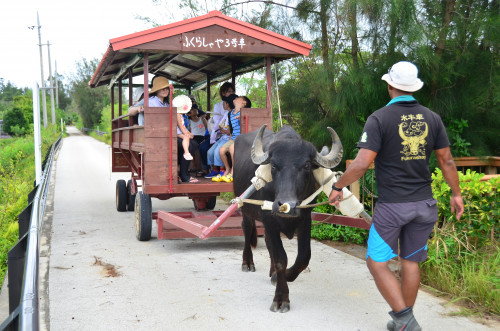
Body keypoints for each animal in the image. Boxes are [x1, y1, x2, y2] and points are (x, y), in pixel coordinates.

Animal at [232, 125, 342, 314]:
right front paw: (281, 298)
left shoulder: (305, 219)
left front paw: (278, 276)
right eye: (274, 165)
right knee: (247, 229)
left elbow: (303, 257)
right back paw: (247, 263)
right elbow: (281, 259)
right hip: (244, 208)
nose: (287, 205)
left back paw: (271, 272)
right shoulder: (269, 218)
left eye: (306, 165)